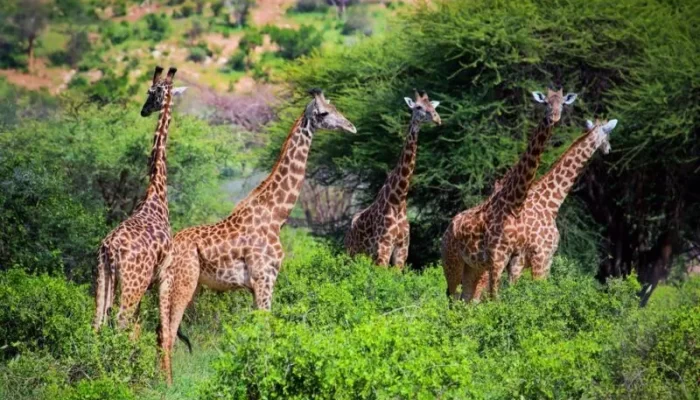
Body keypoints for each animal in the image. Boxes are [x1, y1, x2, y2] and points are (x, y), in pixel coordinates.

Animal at [92, 65, 186, 330]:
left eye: (153, 92)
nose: (144, 110)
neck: (156, 191)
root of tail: (111, 250)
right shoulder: (161, 273)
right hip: (134, 283)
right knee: (121, 323)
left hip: (103, 276)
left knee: (97, 321)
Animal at [157, 88, 356, 384]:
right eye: (324, 113)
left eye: (335, 107)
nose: (351, 126)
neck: (277, 215)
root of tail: (168, 249)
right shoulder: (266, 277)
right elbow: (265, 329)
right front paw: (265, 376)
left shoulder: (254, 285)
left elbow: (256, 330)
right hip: (184, 282)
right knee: (169, 333)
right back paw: (169, 386)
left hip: (165, 285)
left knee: (160, 332)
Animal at [346, 90, 440, 268]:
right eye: (418, 107)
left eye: (433, 106)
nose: (437, 119)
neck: (398, 200)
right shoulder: (384, 246)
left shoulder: (402, 249)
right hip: (352, 252)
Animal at [440, 87, 576, 300]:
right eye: (545, 103)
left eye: (562, 103)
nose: (554, 117)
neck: (513, 203)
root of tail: (447, 229)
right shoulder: (497, 258)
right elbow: (496, 298)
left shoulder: (514, 257)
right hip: (452, 261)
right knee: (452, 296)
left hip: (473, 267)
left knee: (465, 297)